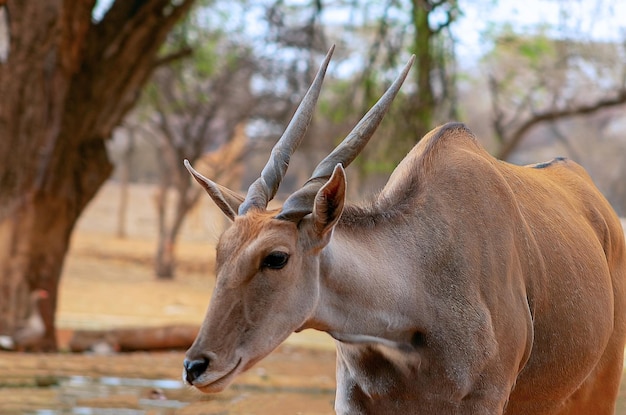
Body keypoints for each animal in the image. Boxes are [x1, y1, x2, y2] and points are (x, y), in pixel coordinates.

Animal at [180, 47, 624, 414]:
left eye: (276, 257)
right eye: (221, 252)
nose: (195, 365)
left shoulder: (485, 400)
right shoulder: (353, 404)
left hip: (598, 389)